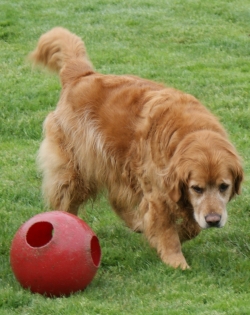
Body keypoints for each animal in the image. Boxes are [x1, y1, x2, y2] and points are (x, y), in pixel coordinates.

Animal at [30, 27, 243, 270]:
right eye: (196, 188)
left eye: (224, 186)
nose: (214, 220)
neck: (190, 132)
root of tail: (82, 75)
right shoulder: (159, 194)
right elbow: (168, 231)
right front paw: (176, 260)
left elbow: (192, 227)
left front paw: (169, 236)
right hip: (78, 169)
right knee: (67, 201)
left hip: (117, 167)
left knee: (116, 199)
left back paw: (137, 223)